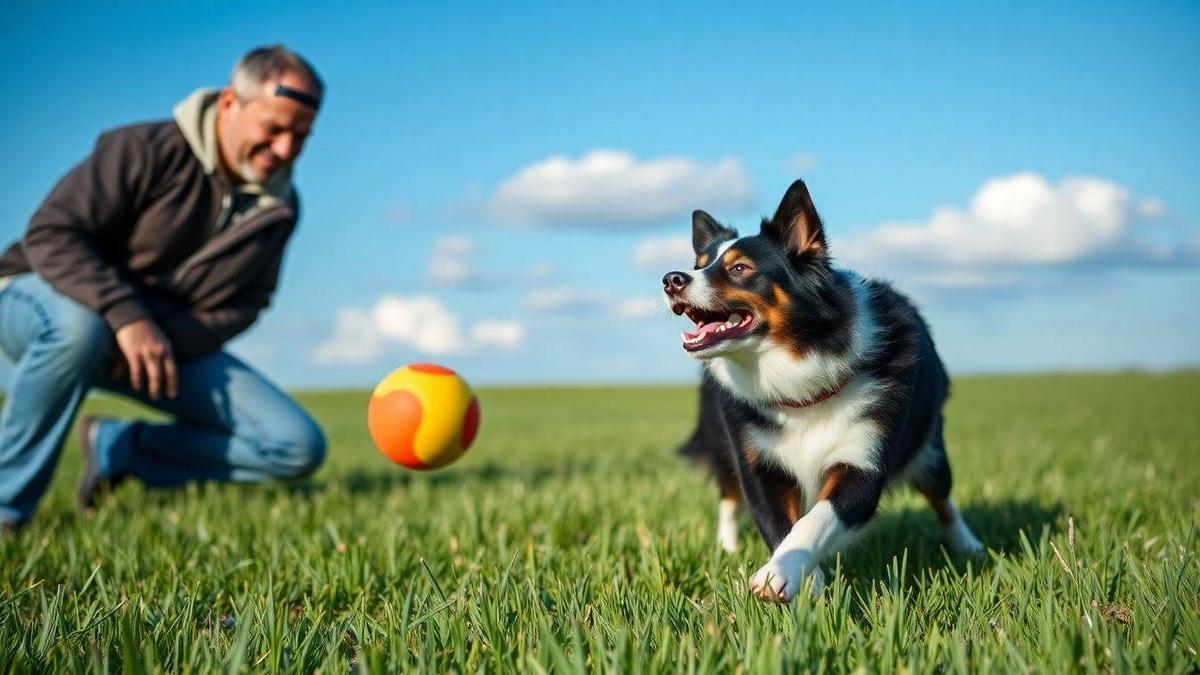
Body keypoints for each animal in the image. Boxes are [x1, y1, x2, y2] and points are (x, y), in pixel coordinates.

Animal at [662, 177, 979, 598]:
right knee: (728, 494)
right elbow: (780, 525)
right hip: (720, 440)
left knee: (942, 495)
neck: (797, 380)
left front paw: (781, 575)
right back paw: (727, 547)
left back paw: (967, 544)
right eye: (699, 266)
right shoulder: (758, 465)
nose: (671, 279)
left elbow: (816, 520)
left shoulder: (863, 462)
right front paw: (803, 582)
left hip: (929, 447)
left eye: (740, 268)